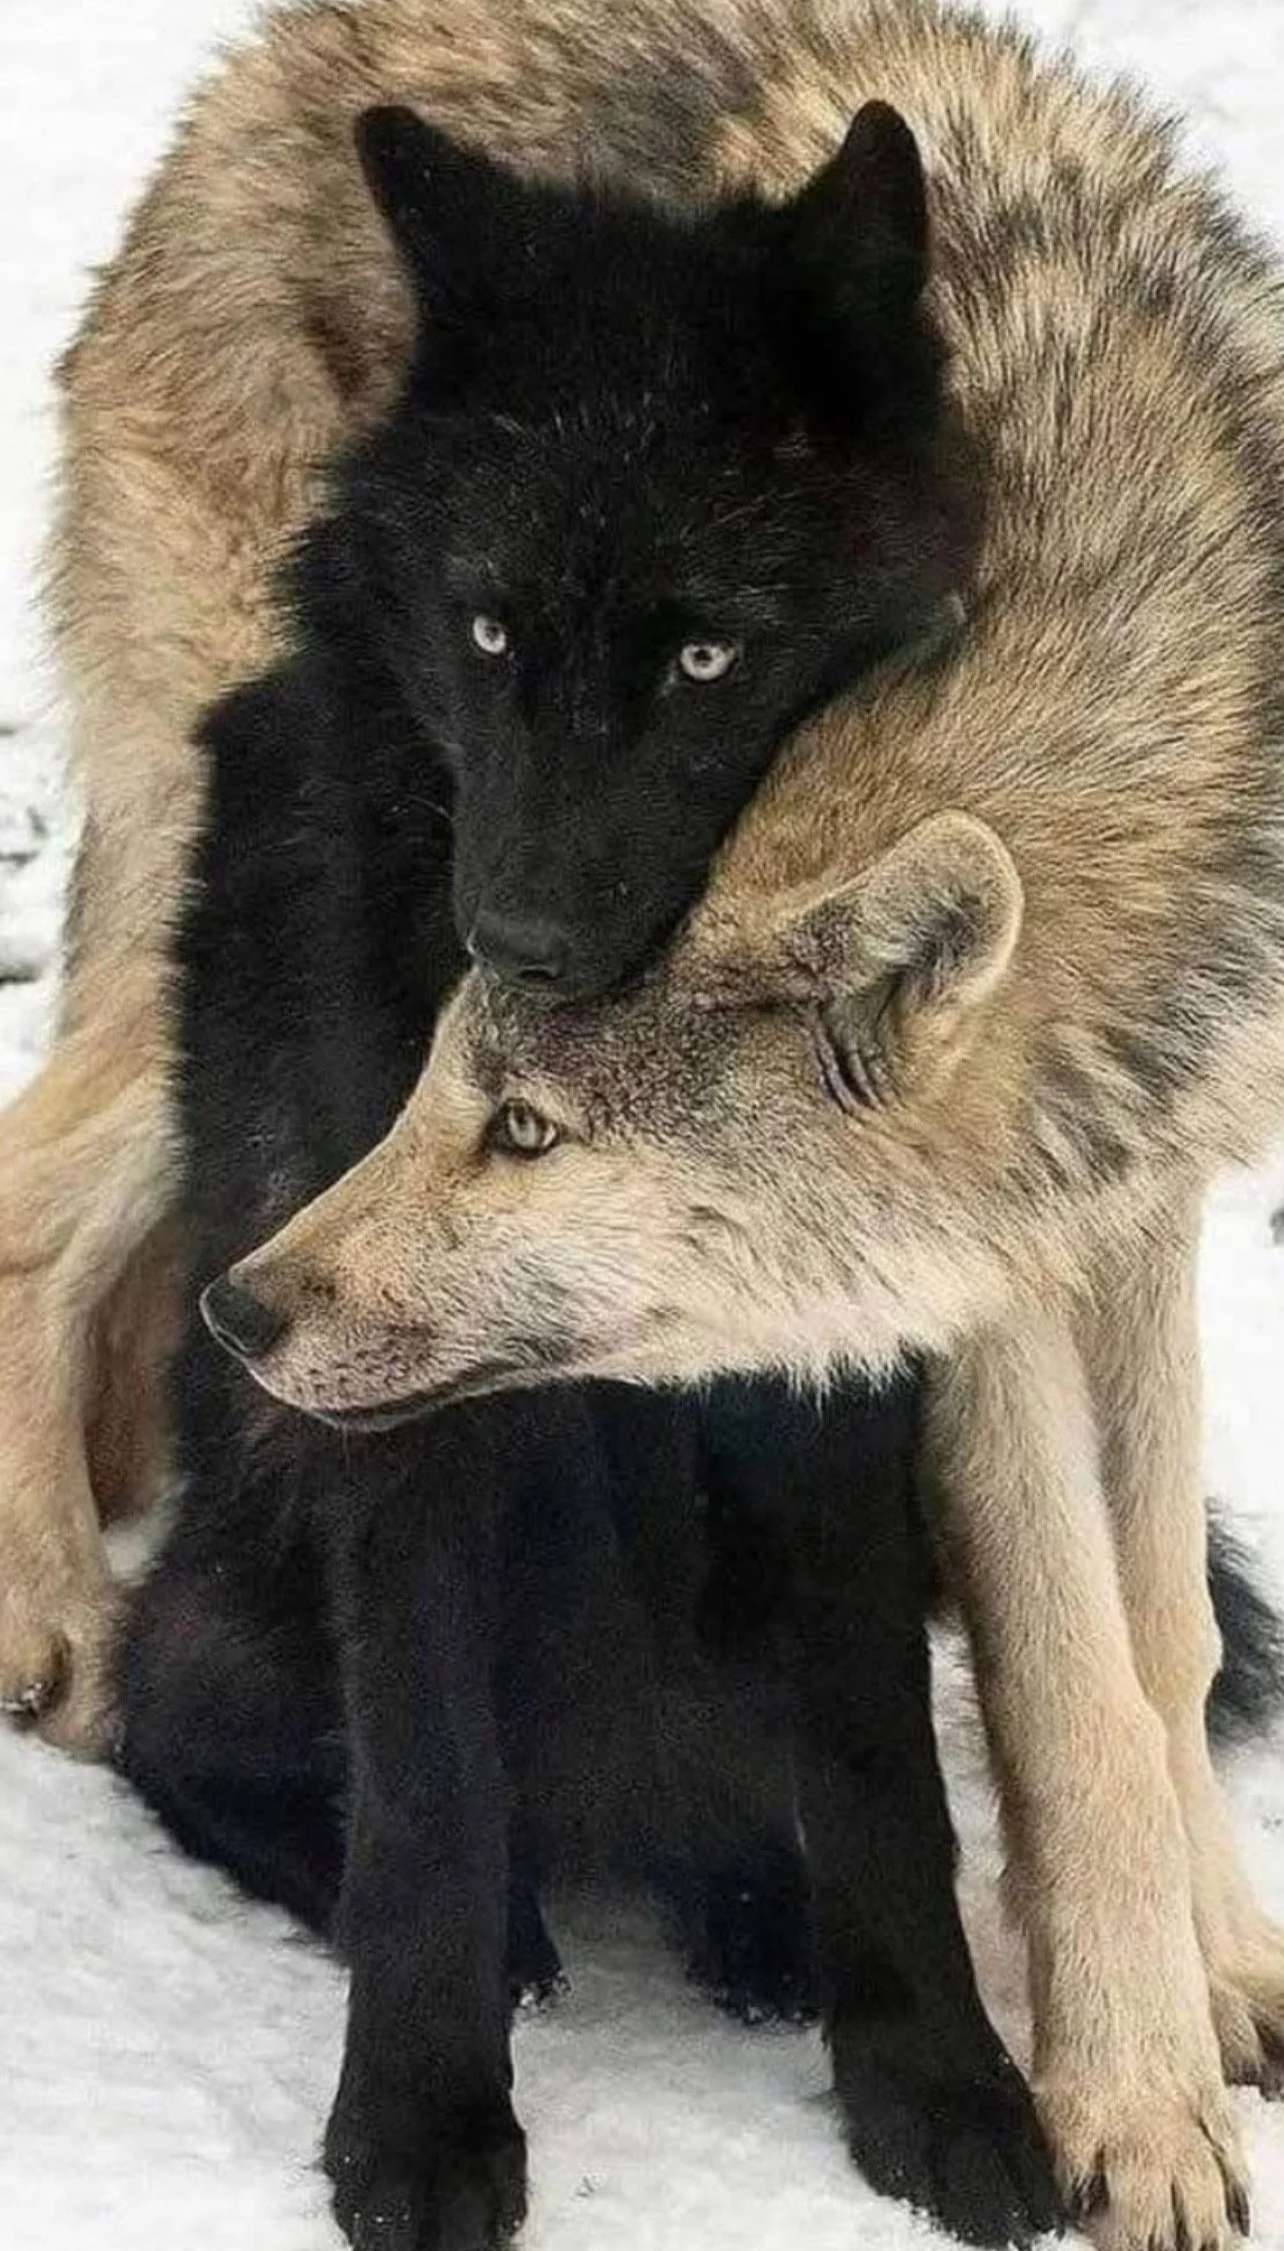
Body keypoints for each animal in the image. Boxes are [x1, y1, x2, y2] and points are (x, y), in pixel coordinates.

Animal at [188, 26, 1284, 2251]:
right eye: (492, 634)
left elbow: (1112, 1655)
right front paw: (1124, 2106)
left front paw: (1076, 2043)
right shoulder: (977, 1294)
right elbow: (1066, 1689)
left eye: (526, 1128)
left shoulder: (1109, 1207)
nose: (240, 1310)